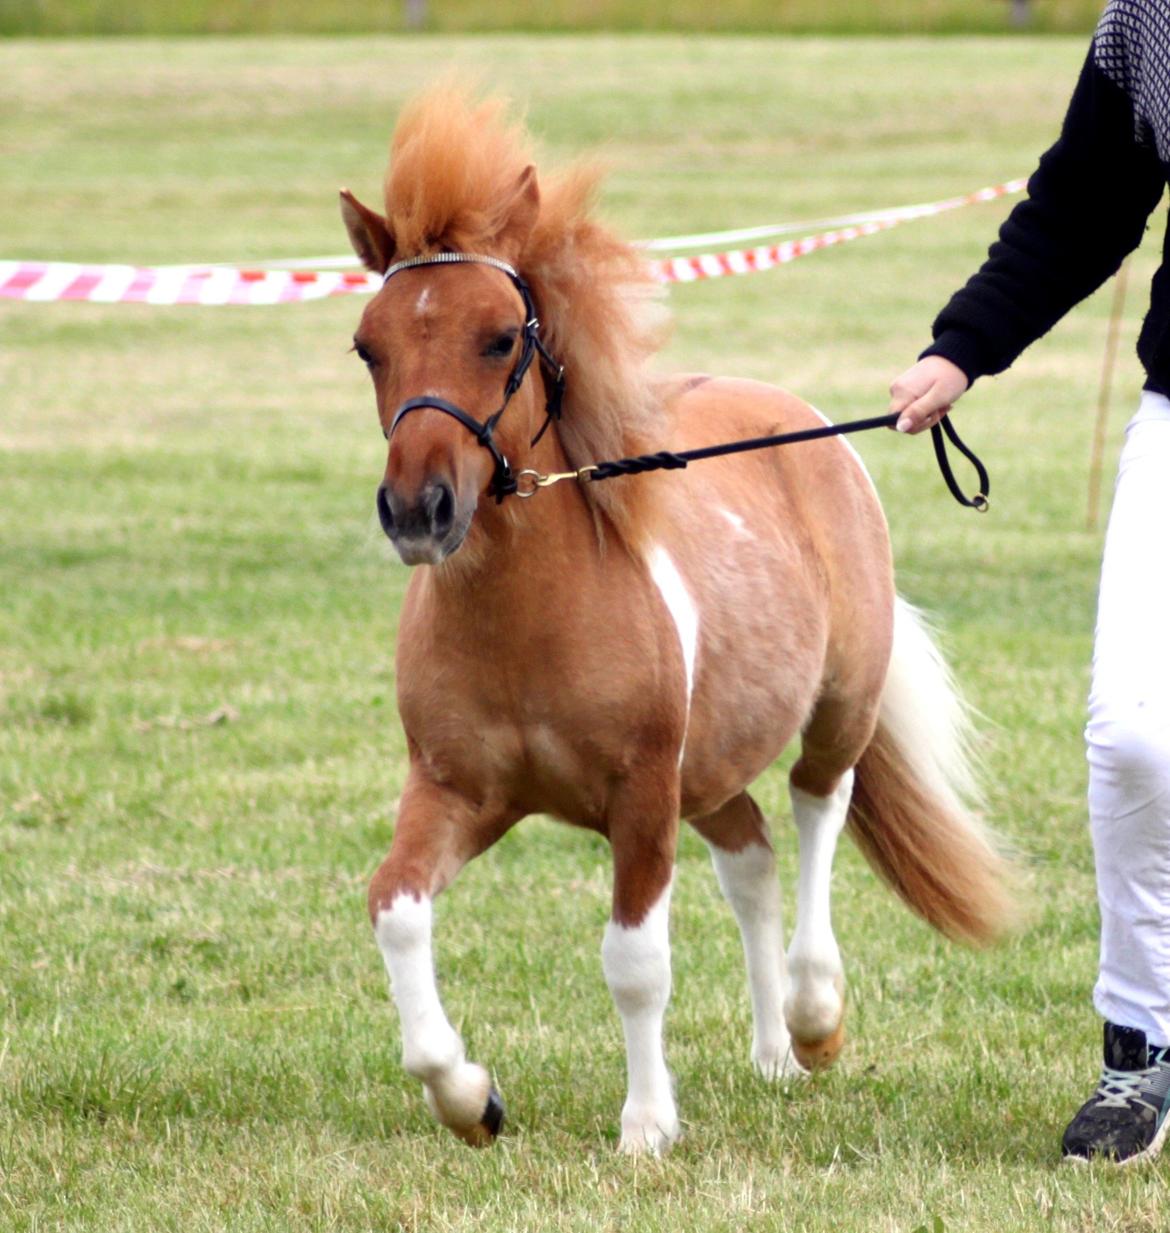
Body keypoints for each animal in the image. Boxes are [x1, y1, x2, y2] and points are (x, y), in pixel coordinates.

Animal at [337, 89, 1015, 1154]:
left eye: (501, 336)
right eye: (370, 345)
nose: (418, 511)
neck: (526, 625)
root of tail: (807, 425)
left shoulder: (641, 797)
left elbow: (635, 960)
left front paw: (647, 1125)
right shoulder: (455, 791)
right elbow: (395, 910)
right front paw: (470, 1097)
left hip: (836, 710)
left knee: (817, 809)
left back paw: (814, 1018)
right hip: (713, 767)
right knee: (753, 859)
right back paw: (774, 1052)